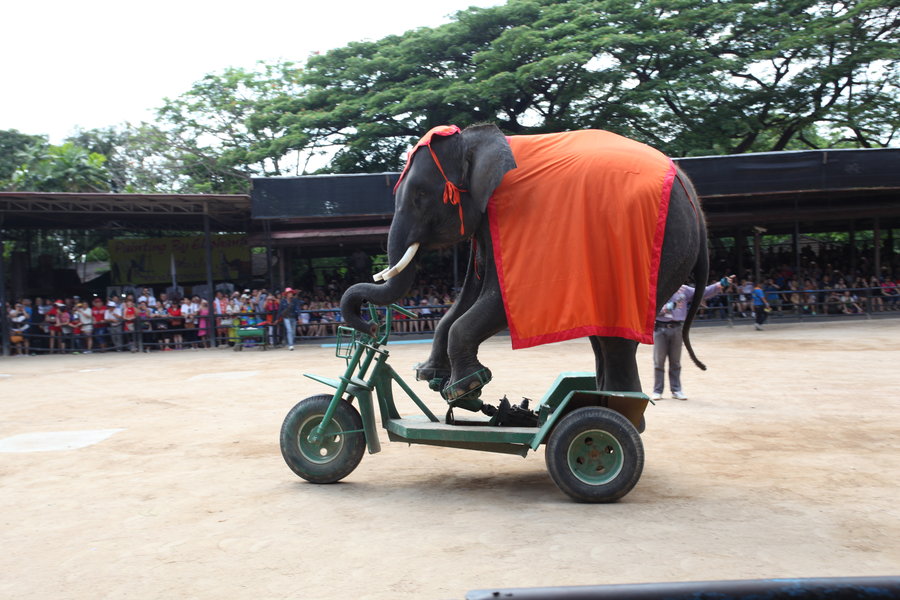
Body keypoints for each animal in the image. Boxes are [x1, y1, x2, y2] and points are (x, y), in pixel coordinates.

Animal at [340, 123, 712, 418]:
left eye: (419, 195)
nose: (371, 325)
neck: (476, 141)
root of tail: (690, 189)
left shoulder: (514, 217)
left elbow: (499, 298)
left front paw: (463, 389)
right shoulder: (485, 220)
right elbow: (467, 296)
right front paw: (429, 373)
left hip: (661, 251)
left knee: (615, 341)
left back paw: (620, 412)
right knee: (604, 336)